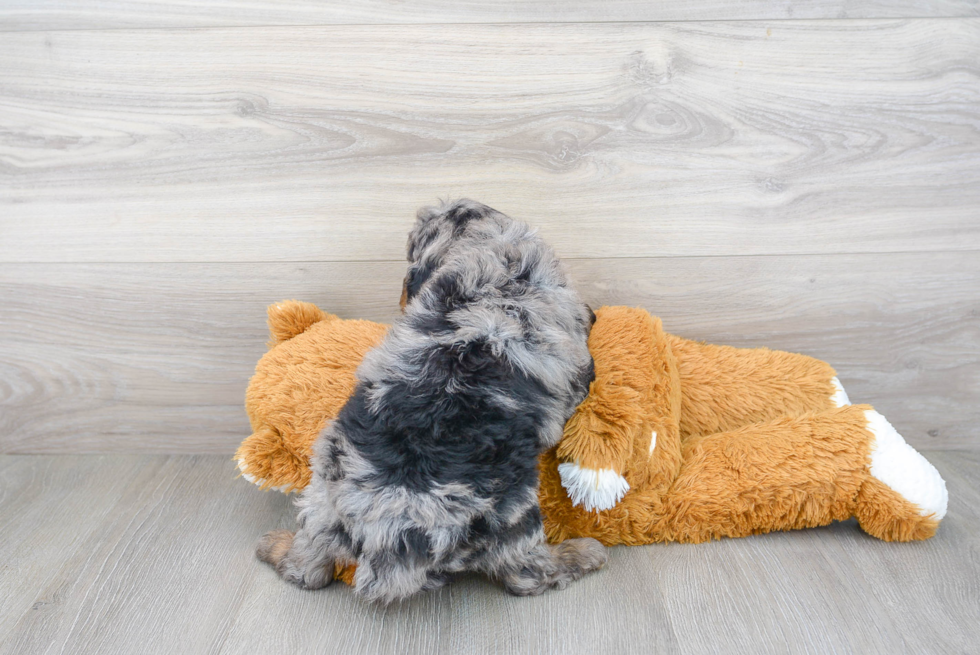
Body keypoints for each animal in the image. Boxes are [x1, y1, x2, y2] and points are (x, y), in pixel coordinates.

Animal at [256, 199, 600, 604]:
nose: (400, 299)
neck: (500, 271)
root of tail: (386, 530)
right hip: (511, 514)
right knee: (526, 575)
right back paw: (580, 554)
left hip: (322, 498)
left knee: (308, 568)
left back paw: (275, 547)